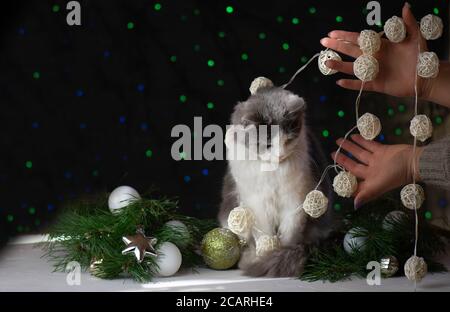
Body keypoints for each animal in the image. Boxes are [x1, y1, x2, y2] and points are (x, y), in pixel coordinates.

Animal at [218, 85, 334, 278]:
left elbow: (289, 235)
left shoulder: (294, 202)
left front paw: (280, 255)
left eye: (288, 140)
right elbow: (264, 236)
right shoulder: (257, 204)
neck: (272, 172)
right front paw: (264, 256)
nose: (280, 155)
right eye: (268, 145)